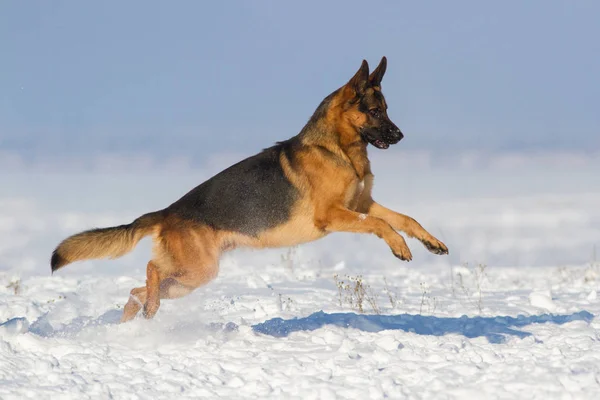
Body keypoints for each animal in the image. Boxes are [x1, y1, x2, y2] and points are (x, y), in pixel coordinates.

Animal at [51, 57, 448, 322]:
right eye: (375, 111)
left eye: (386, 109)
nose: (400, 136)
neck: (338, 148)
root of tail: (166, 212)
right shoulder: (334, 215)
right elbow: (381, 224)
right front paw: (400, 247)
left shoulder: (363, 202)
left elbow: (405, 218)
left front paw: (431, 242)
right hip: (196, 271)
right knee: (149, 271)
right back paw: (148, 308)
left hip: (190, 278)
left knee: (136, 290)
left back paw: (139, 316)